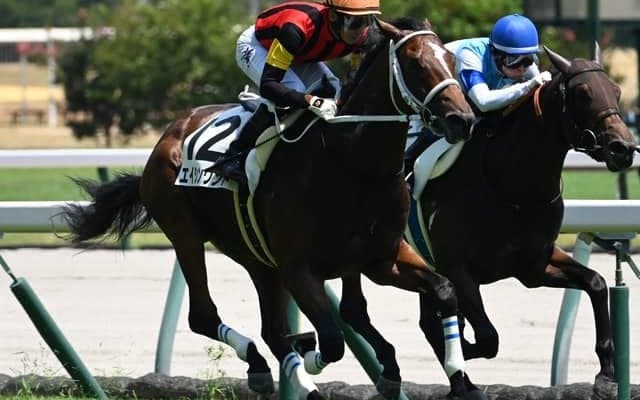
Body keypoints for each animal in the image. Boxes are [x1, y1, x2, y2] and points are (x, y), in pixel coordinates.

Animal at [61, 17, 487, 400]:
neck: (351, 162)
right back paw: (267, 365)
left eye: (451, 59)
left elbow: (443, 290)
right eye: (416, 63)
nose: (462, 119)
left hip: (256, 256)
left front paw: (461, 380)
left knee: (271, 329)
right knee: (207, 315)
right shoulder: (299, 267)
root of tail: (168, 136)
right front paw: (311, 358)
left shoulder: (381, 258)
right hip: (185, 233)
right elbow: (331, 340)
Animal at [409, 46, 638, 396]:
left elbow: (597, 284)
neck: (511, 186)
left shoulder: (533, 266)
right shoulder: (457, 268)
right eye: (583, 93)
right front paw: (459, 348)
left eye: (616, 91)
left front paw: (606, 374)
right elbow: (486, 338)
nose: (623, 148)